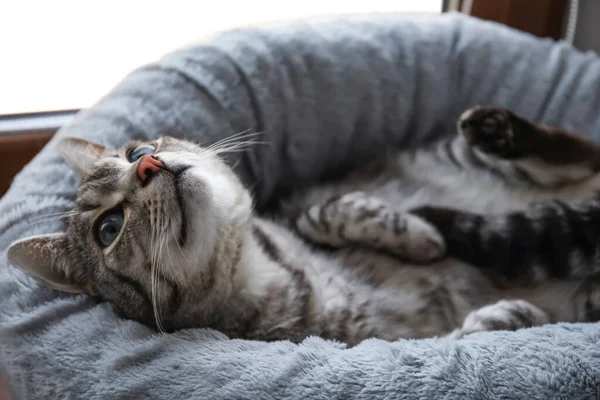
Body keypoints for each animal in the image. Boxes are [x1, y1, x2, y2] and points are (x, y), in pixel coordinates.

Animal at [7, 106, 600, 344]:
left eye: (138, 151)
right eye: (109, 228)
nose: (150, 164)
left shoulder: (304, 213)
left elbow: (337, 208)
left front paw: (417, 236)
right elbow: (456, 335)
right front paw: (506, 315)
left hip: (471, 153)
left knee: (572, 148)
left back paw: (497, 129)